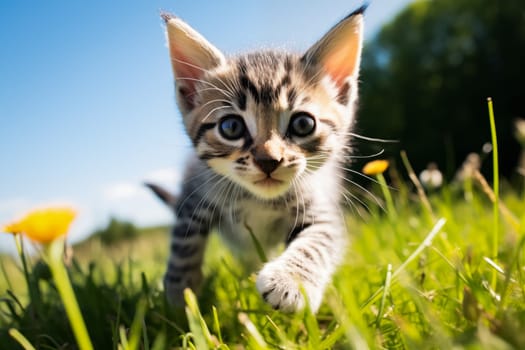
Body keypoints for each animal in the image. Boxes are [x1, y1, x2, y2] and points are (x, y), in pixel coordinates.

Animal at [154, 6, 362, 312]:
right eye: (231, 127)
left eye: (303, 124)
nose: (269, 160)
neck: (258, 200)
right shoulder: (194, 195)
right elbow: (184, 243)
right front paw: (179, 296)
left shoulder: (321, 209)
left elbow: (317, 241)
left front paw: (291, 281)